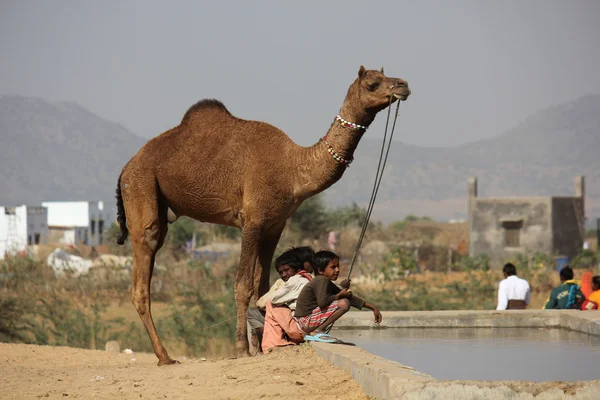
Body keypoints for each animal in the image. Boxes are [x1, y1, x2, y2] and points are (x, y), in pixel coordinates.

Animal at [115, 65, 410, 366]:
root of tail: (126, 168)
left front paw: (260, 345)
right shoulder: (252, 219)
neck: (292, 169)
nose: (403, 85)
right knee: (142, 271)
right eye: (373, 84)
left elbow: (264, 287)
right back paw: (164, 356)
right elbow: (243, 286)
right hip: (141, 186)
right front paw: (242, 348)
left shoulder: (274, 224)